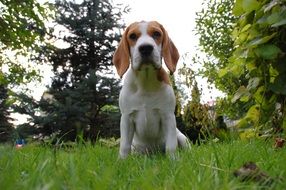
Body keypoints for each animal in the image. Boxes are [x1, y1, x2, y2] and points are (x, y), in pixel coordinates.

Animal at [113, 20, 189, 159]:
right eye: (132, 36)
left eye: (156, 33)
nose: (145, 48)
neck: (146, 82)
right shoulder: (126, 118)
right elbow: (124, 146)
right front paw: (122, 161)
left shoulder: (168, 116)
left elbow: (171, 146)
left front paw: (173, 160)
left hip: (181, 137)